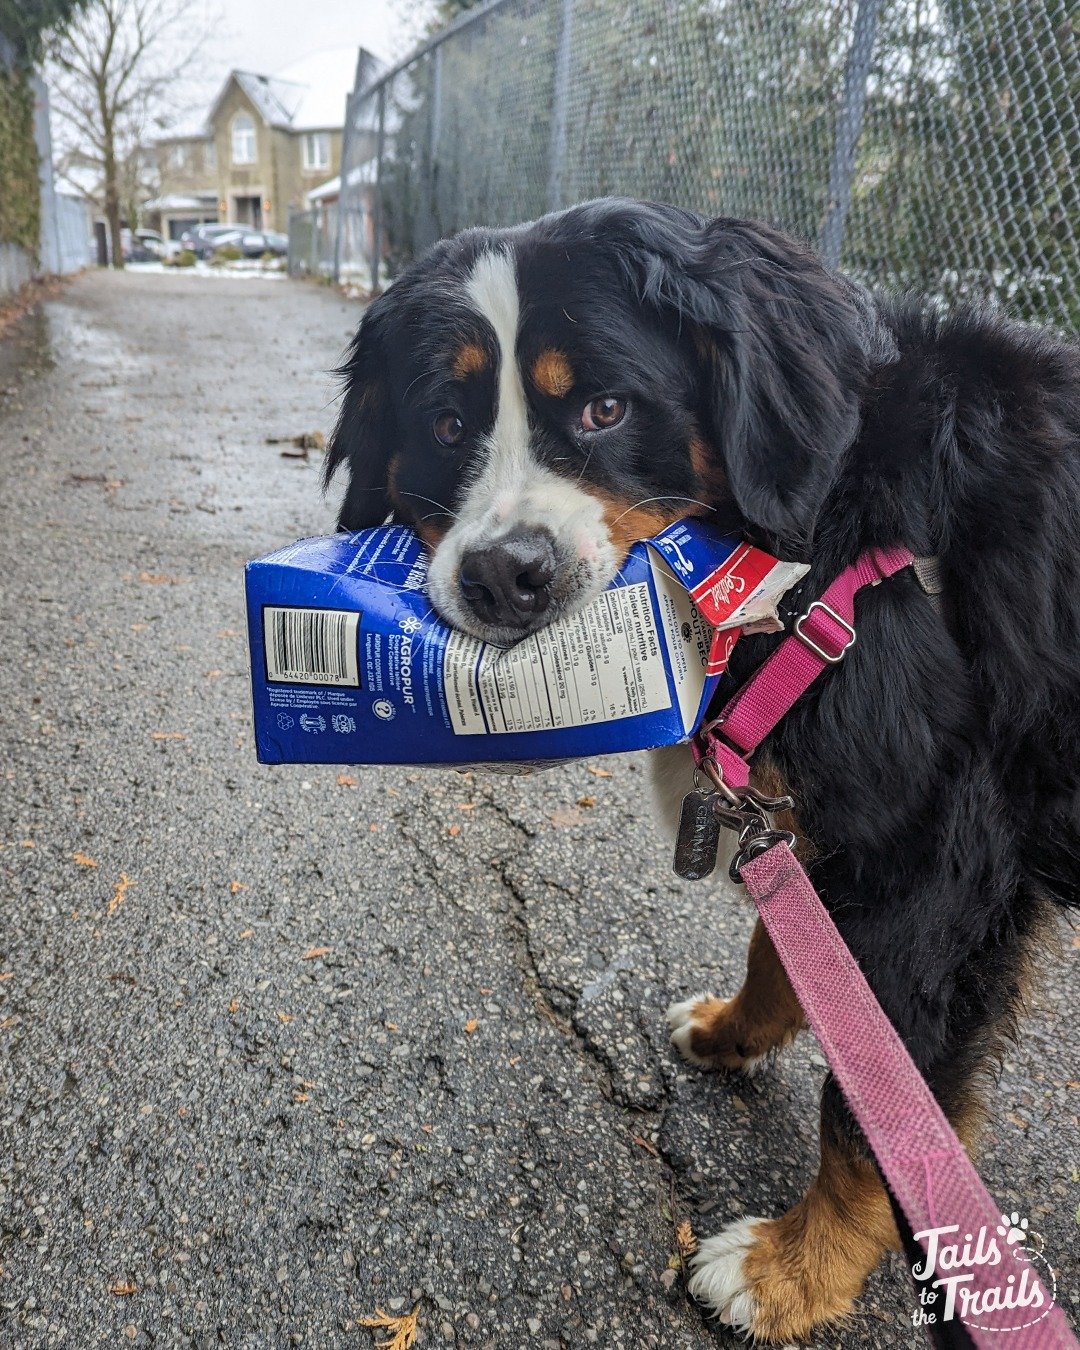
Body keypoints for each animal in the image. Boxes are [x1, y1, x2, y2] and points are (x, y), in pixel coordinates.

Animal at [322, 195, 1080, 1344]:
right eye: (446, 427)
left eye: (603, 409)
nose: (504, 575)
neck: (828, 557)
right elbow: (790, 943)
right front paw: (739, 1028)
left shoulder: (935, 871)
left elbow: (878, 1109)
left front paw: (793, 1270)